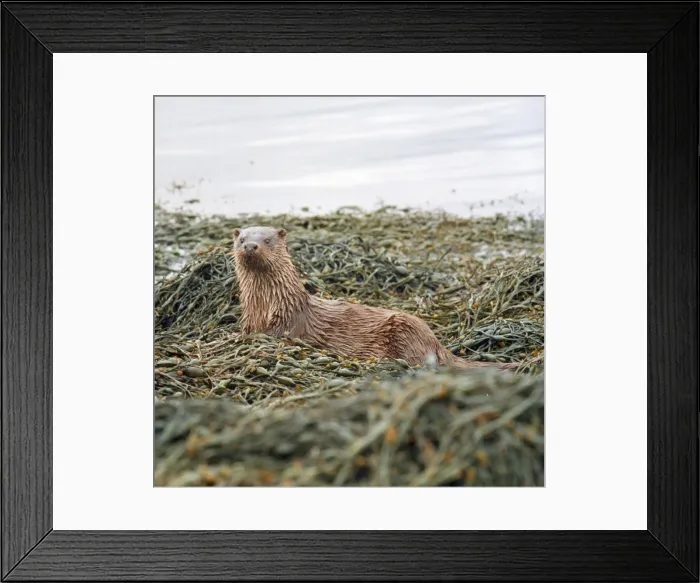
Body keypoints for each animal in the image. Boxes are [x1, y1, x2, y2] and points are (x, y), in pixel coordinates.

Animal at [230, 226, 519, 372]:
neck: (267, 305)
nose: (251, 246)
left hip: (405, 329)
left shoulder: (287, 325)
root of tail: (436, 342)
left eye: (267, 240)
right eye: (242, 239)